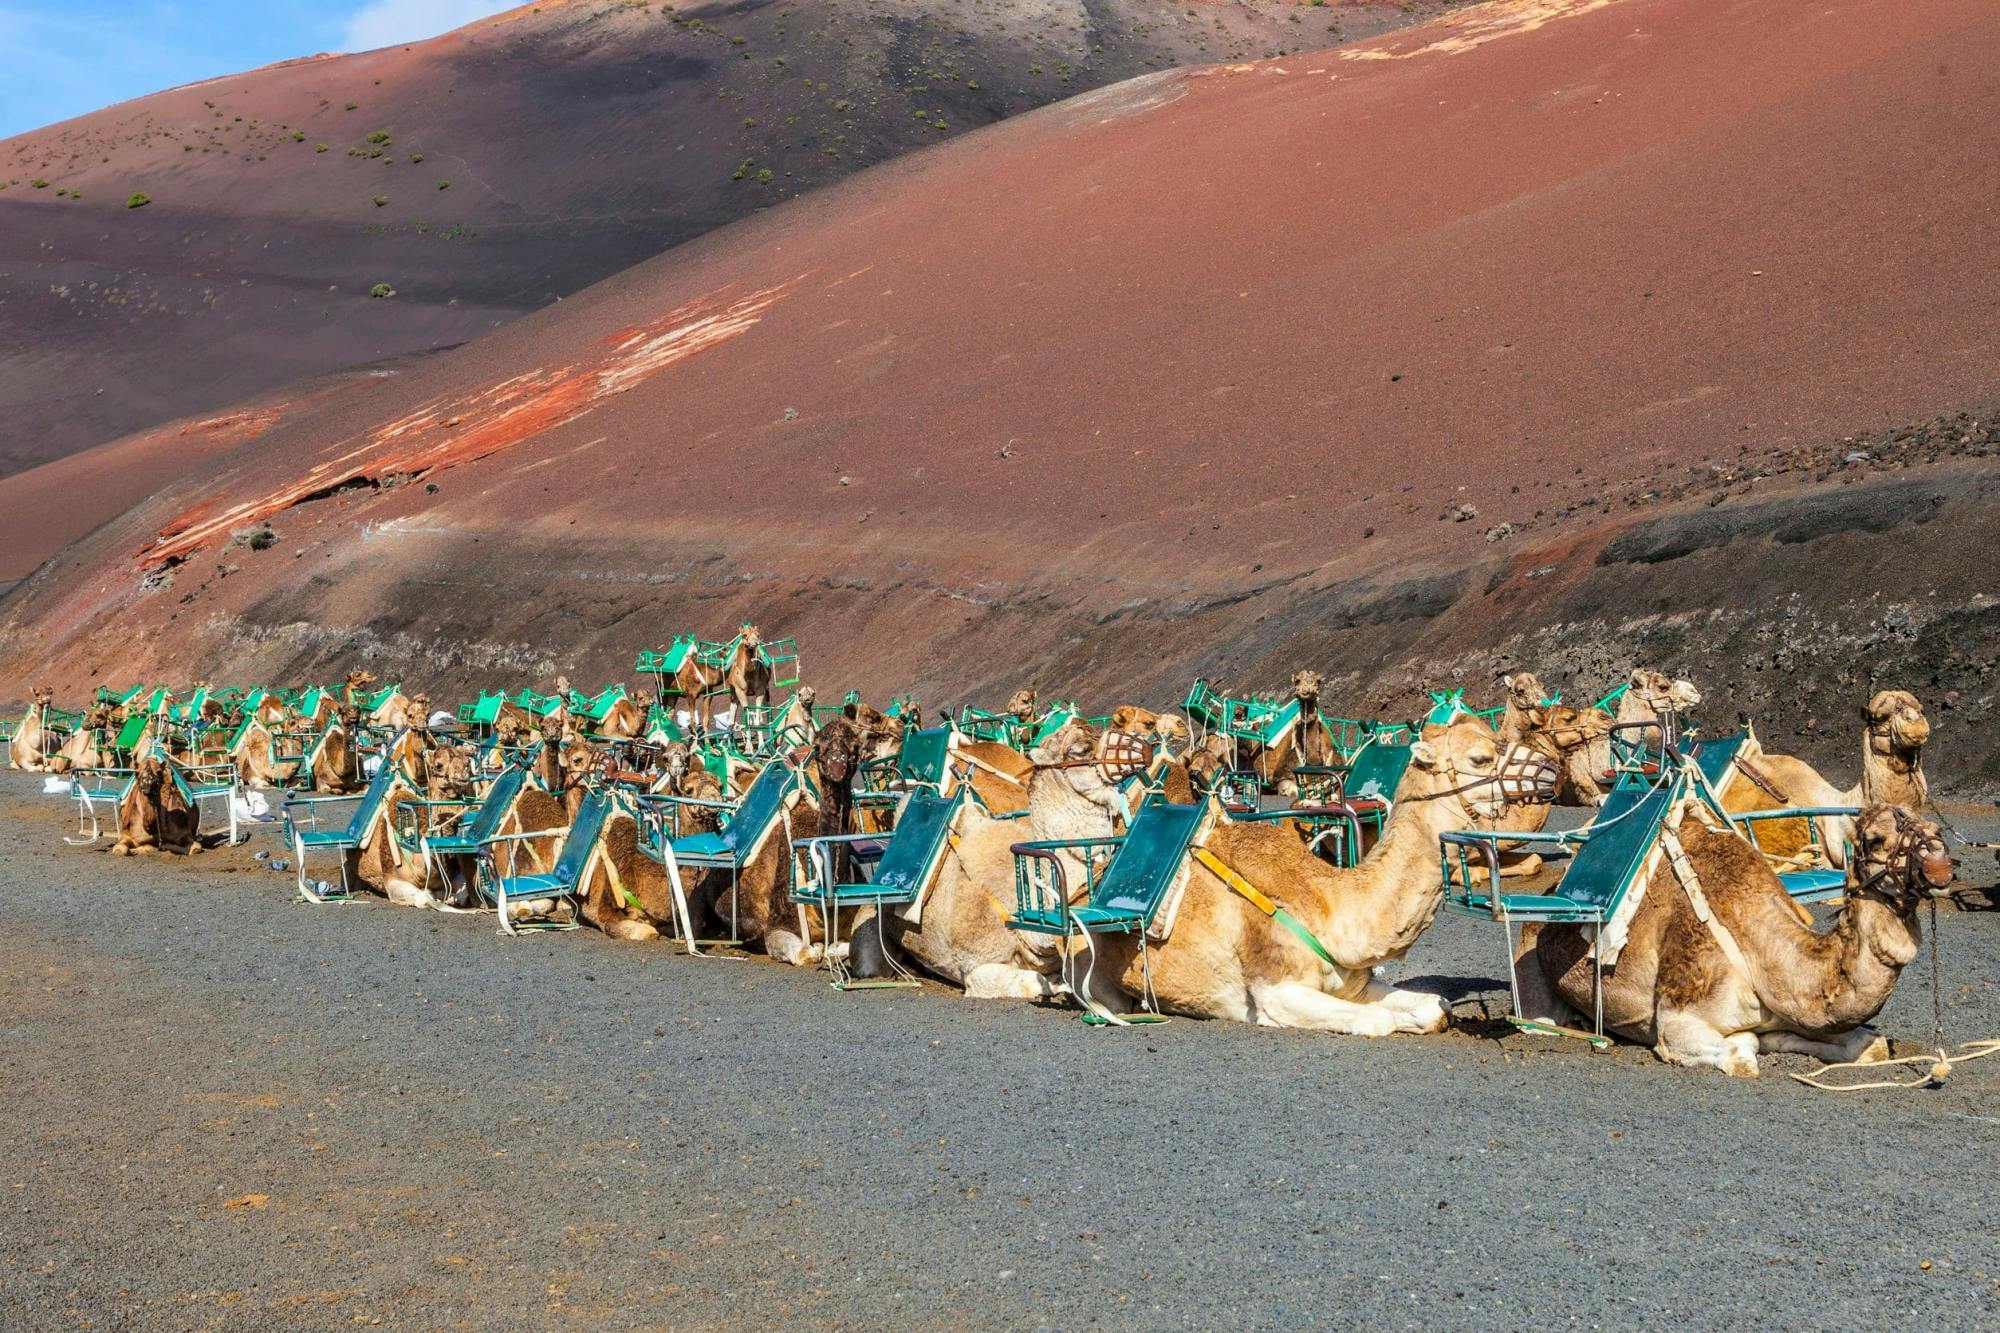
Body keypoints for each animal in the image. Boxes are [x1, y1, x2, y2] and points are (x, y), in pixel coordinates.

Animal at [1088, 712, 1536, 1032]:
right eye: (1480, 758)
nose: (1544, 771)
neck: (1328, 905)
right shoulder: (1275, 992)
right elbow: (1379, 1020)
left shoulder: (1353, 982)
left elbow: (1435, 1007)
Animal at [1512, 800, 1952, 1072]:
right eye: (1876, 839)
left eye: (1936, 829)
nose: (1940, 865)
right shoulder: (1678, 1018)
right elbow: (1743, 1054)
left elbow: (1871, 1045)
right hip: (1529, 965)